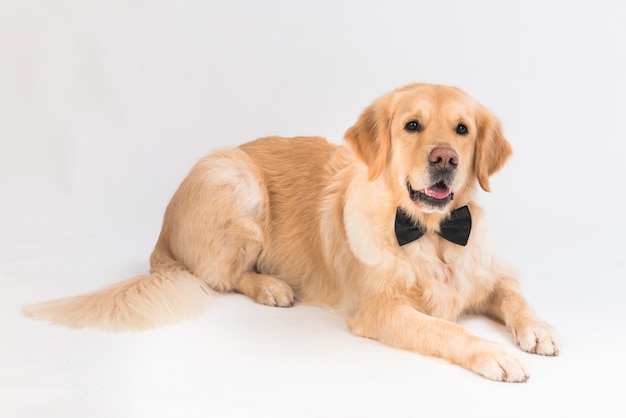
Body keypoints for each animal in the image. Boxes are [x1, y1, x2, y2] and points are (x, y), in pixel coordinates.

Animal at [25, 82, 560, 382]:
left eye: (462, 130)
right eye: (412, 125)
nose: (445, 159)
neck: (433, 234)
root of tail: (162, 229)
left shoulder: (490, 270)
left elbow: (514, 295)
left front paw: (538, 329)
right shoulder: (378, 309)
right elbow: (444, 328)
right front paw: (493, 354)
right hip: (236, 178)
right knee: (219, 275)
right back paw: (271, 286)